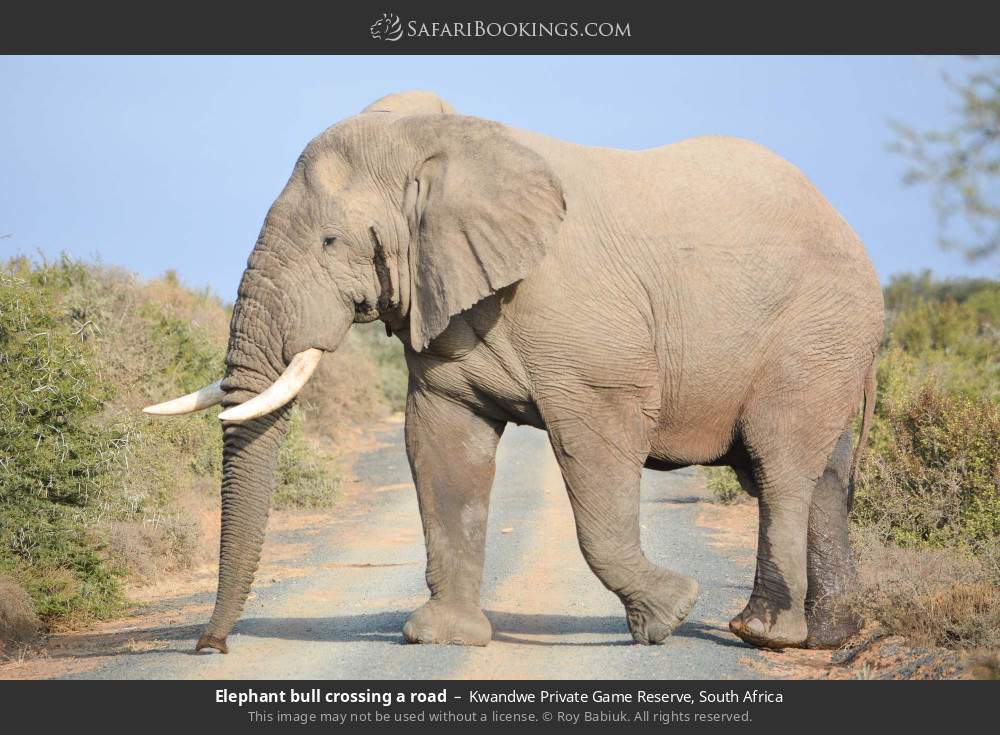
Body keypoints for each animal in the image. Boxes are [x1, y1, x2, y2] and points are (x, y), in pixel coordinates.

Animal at [145, 90, 884, 654]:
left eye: (332, 241)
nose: (210, 647)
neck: (437, 140)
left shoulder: (587, 335)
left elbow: (597, 453)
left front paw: (670, 614)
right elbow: (442, 446)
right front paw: (441, 638)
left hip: (813, 333)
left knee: (778, 464)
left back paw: (761, 634)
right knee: (818, 474)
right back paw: (830, 636)